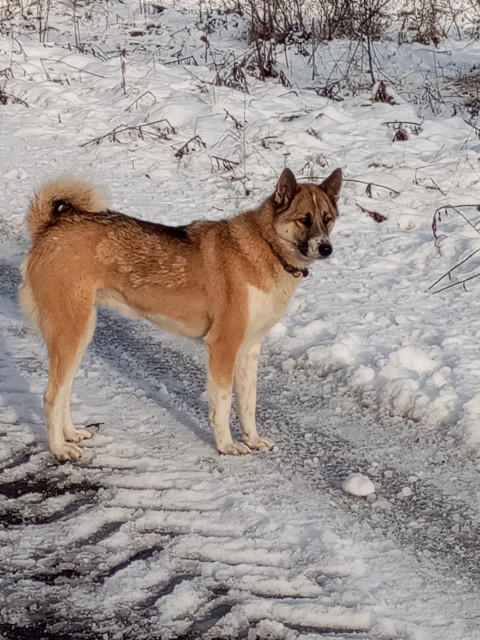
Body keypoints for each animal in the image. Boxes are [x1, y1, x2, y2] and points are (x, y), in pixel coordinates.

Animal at [18, 169, 342, 460]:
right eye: (304, 219)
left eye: (327, 219)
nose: (326, 248)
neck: (266, 245)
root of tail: (50, 227)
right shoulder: (223, 346)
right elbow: (223, 404)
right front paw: (226, 445)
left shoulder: (249, 349)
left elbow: (248, 404)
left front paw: (252, 439)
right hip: (70, 333)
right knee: (50, 397)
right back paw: (59, 449)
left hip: (81, 333)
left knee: (64, 392)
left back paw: (70, 434)